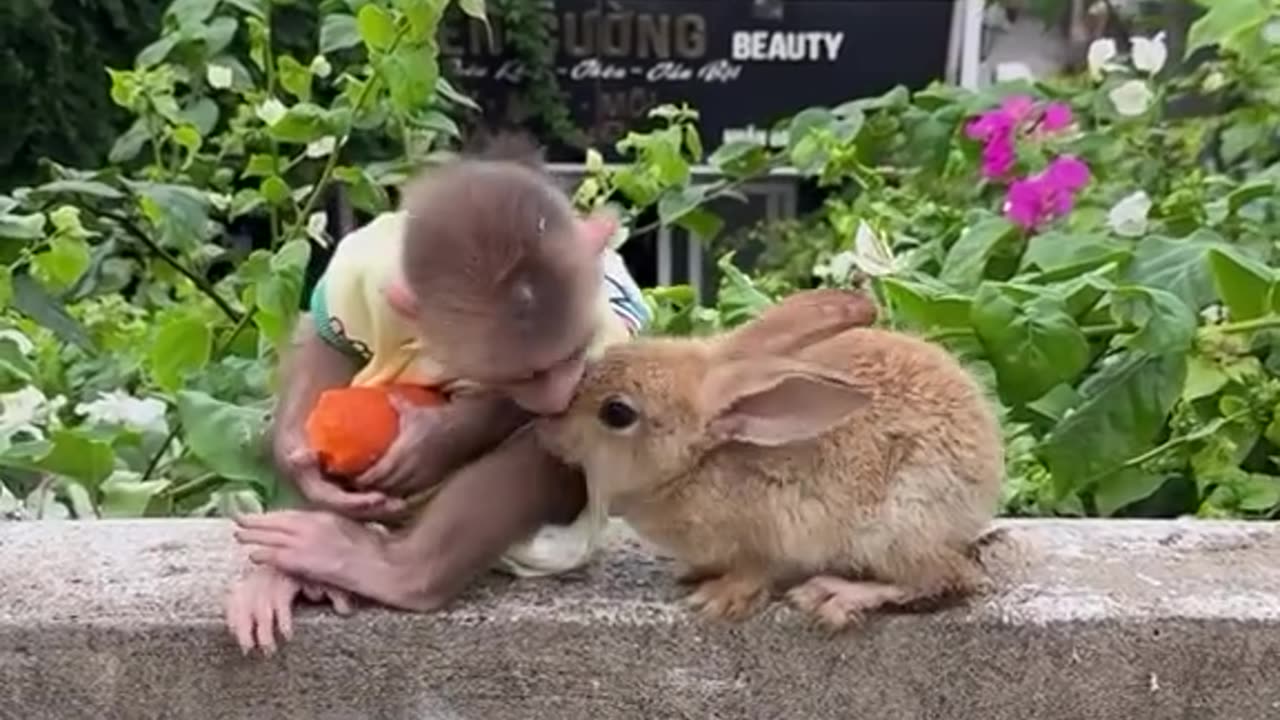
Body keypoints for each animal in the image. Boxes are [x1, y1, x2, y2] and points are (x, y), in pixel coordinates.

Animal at [226, 133, 650, 650]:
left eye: (571, 356)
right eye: (522, 377)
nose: (556, 397)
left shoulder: (603, 323)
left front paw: (433, 440)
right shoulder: (364, 267)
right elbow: (329, 336)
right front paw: (298, 460)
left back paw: (395, 571)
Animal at [535, 288, 1003, 625]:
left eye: (617, 413)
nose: (548, 428)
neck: (695, 464)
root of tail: (988, 468)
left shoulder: (770, 532)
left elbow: (756, 570)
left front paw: (716, 600)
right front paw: (691, 574)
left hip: (899, 524)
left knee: (950, 578)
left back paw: (833, 595)